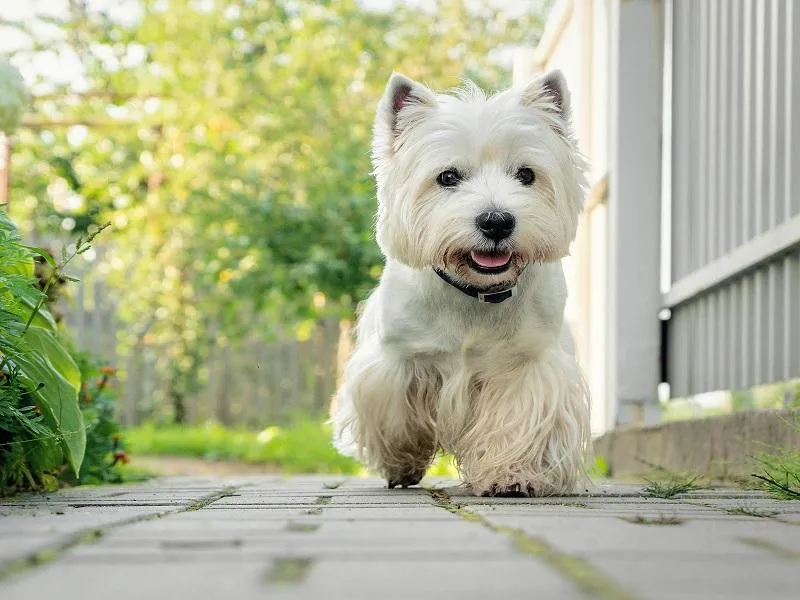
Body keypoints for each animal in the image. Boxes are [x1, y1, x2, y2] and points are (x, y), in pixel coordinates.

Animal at [330, 69, 588, 496]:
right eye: (448, 177)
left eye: (526, 174)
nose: (496, 221)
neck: (476, 292)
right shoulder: (397, 361)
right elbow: (397, 418)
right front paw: (402, 461)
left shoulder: (527, 363)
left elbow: (517, 420)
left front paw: (511, 475)